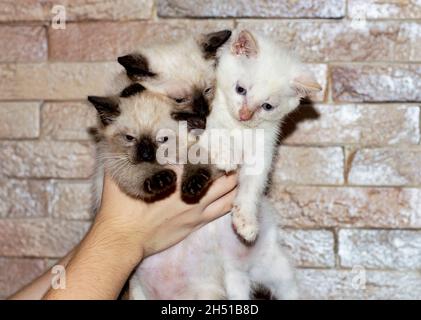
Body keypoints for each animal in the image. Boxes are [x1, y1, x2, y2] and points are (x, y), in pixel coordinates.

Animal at [197, 30, 322, 242]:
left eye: (267, 106)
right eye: (240, 89)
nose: (244, 115)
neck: (238, 126)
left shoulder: (263, 149)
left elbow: (253, 184)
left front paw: (246, 219)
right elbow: (213, 129)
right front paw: (226, 154)